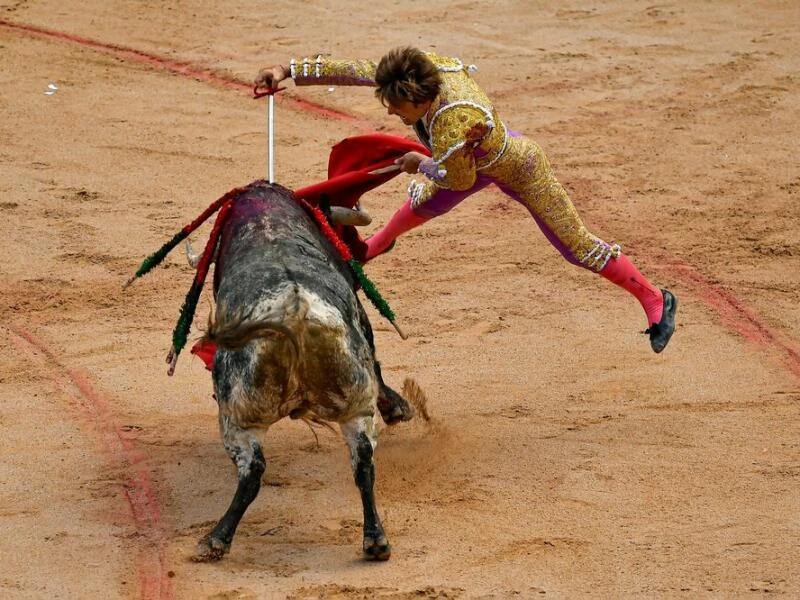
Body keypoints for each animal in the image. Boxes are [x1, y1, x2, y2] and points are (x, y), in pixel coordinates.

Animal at [189, 179, 412, 564]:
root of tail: (294, 314)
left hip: (238, 416)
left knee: (253, 472)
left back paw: (216, 539)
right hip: (354, 406)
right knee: (363, 461)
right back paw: (375, 541)